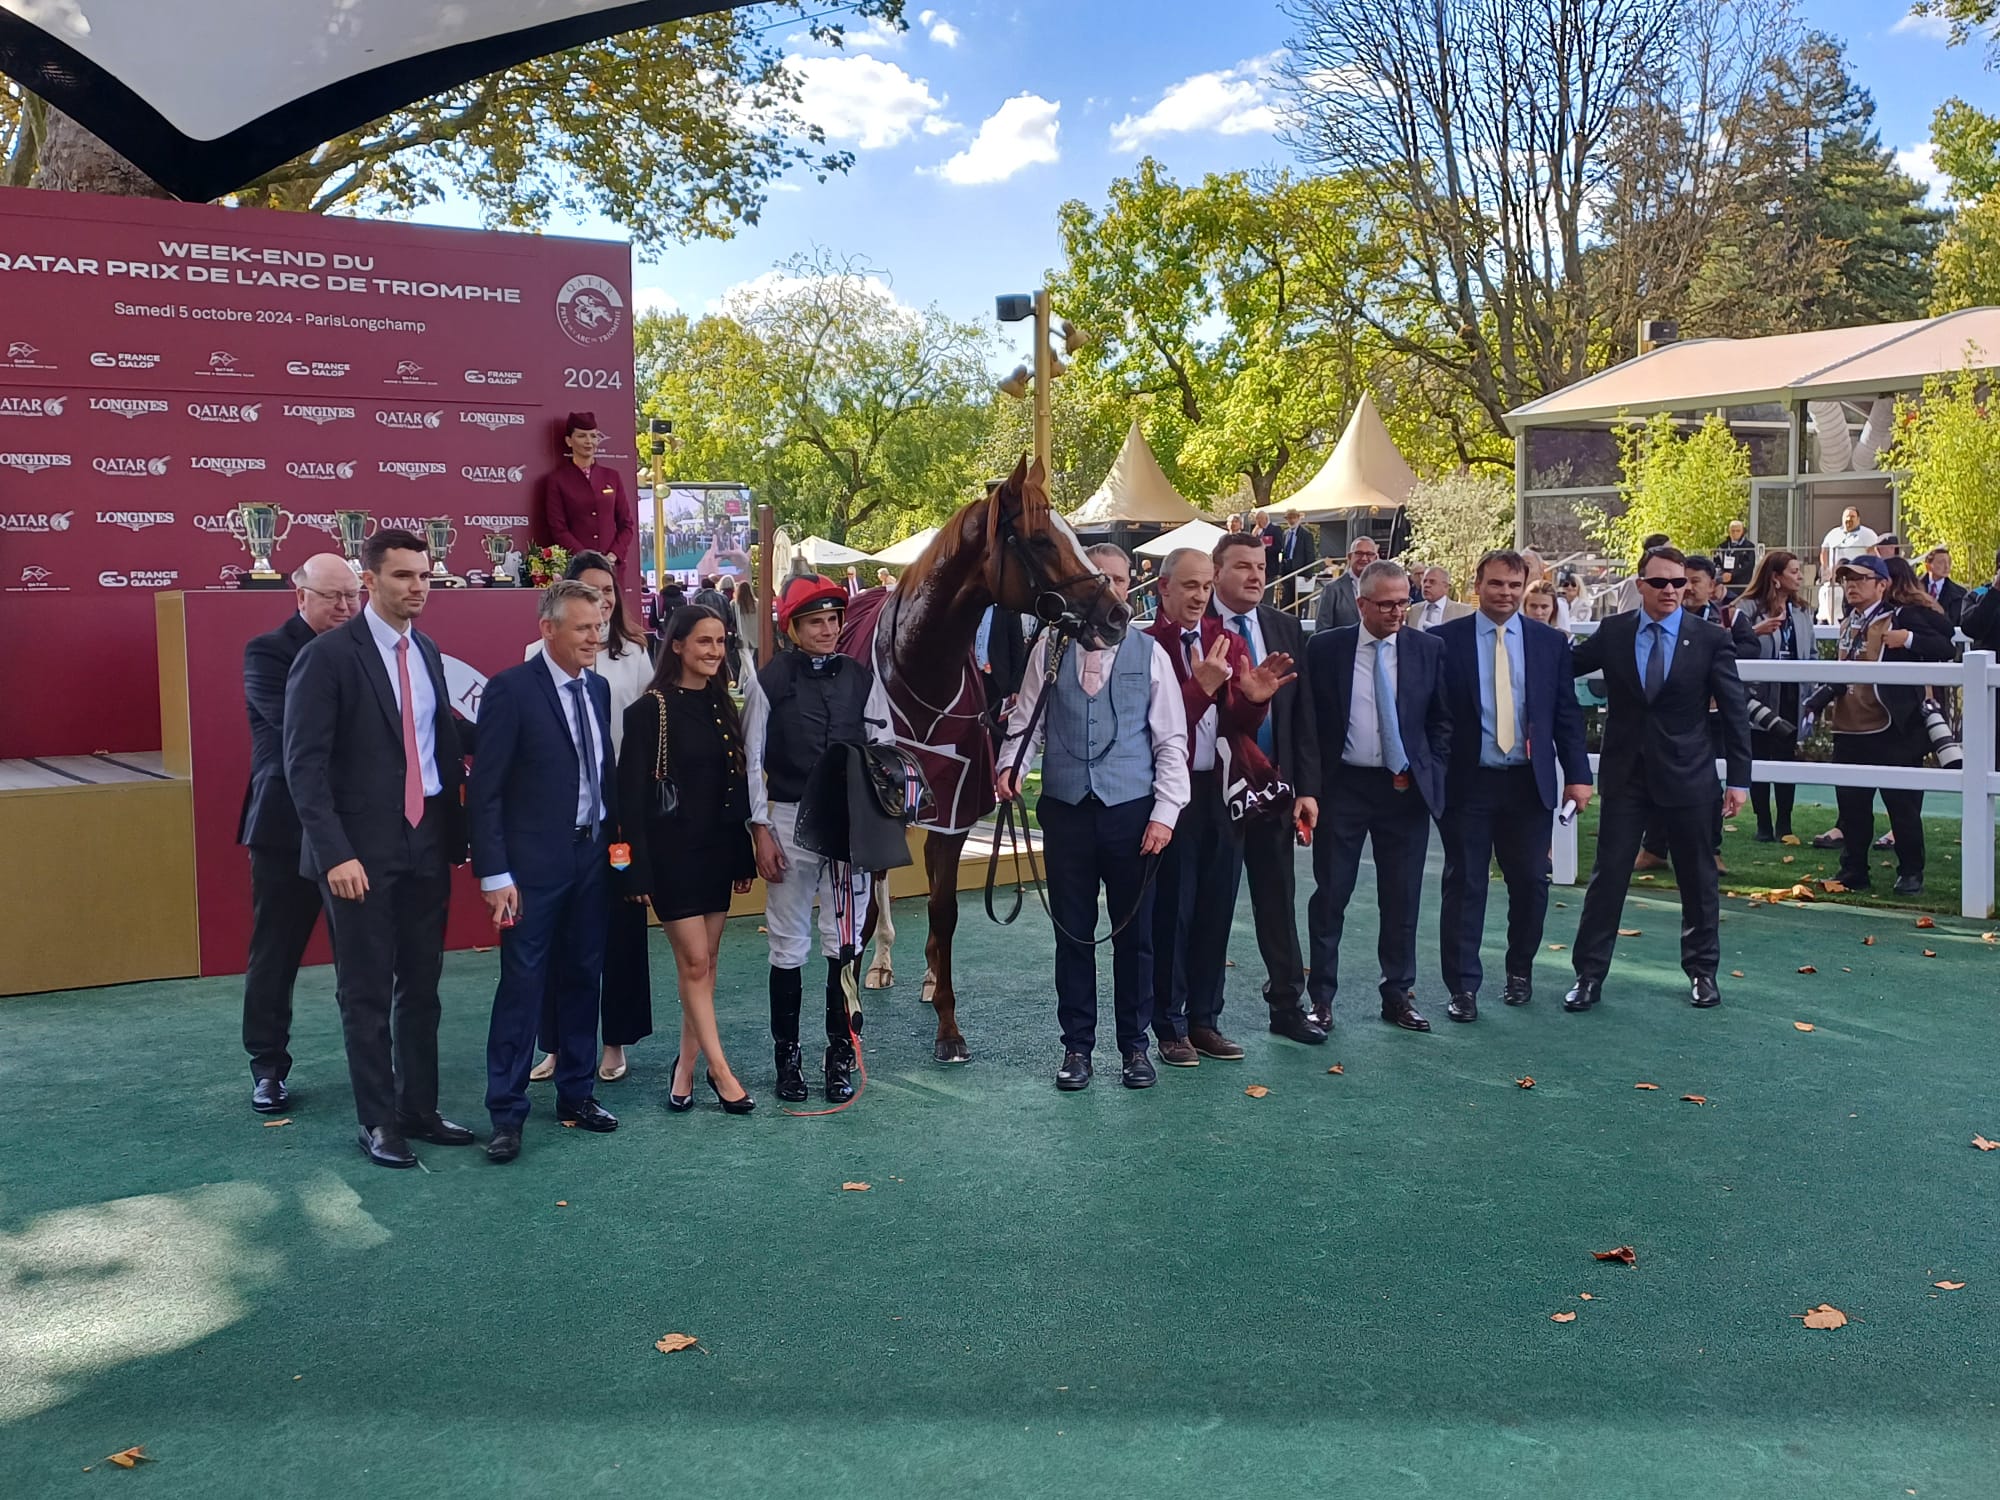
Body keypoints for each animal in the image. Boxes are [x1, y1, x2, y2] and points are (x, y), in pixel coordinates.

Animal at [836, 452, 1136, 1064]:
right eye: (1042, 539)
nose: (1118, 615)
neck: (918, 667)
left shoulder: (951, 813)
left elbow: (944, 911)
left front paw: (948, 1025)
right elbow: (869, 897)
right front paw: (853, 997)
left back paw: (927, 976)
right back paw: (879, 963)